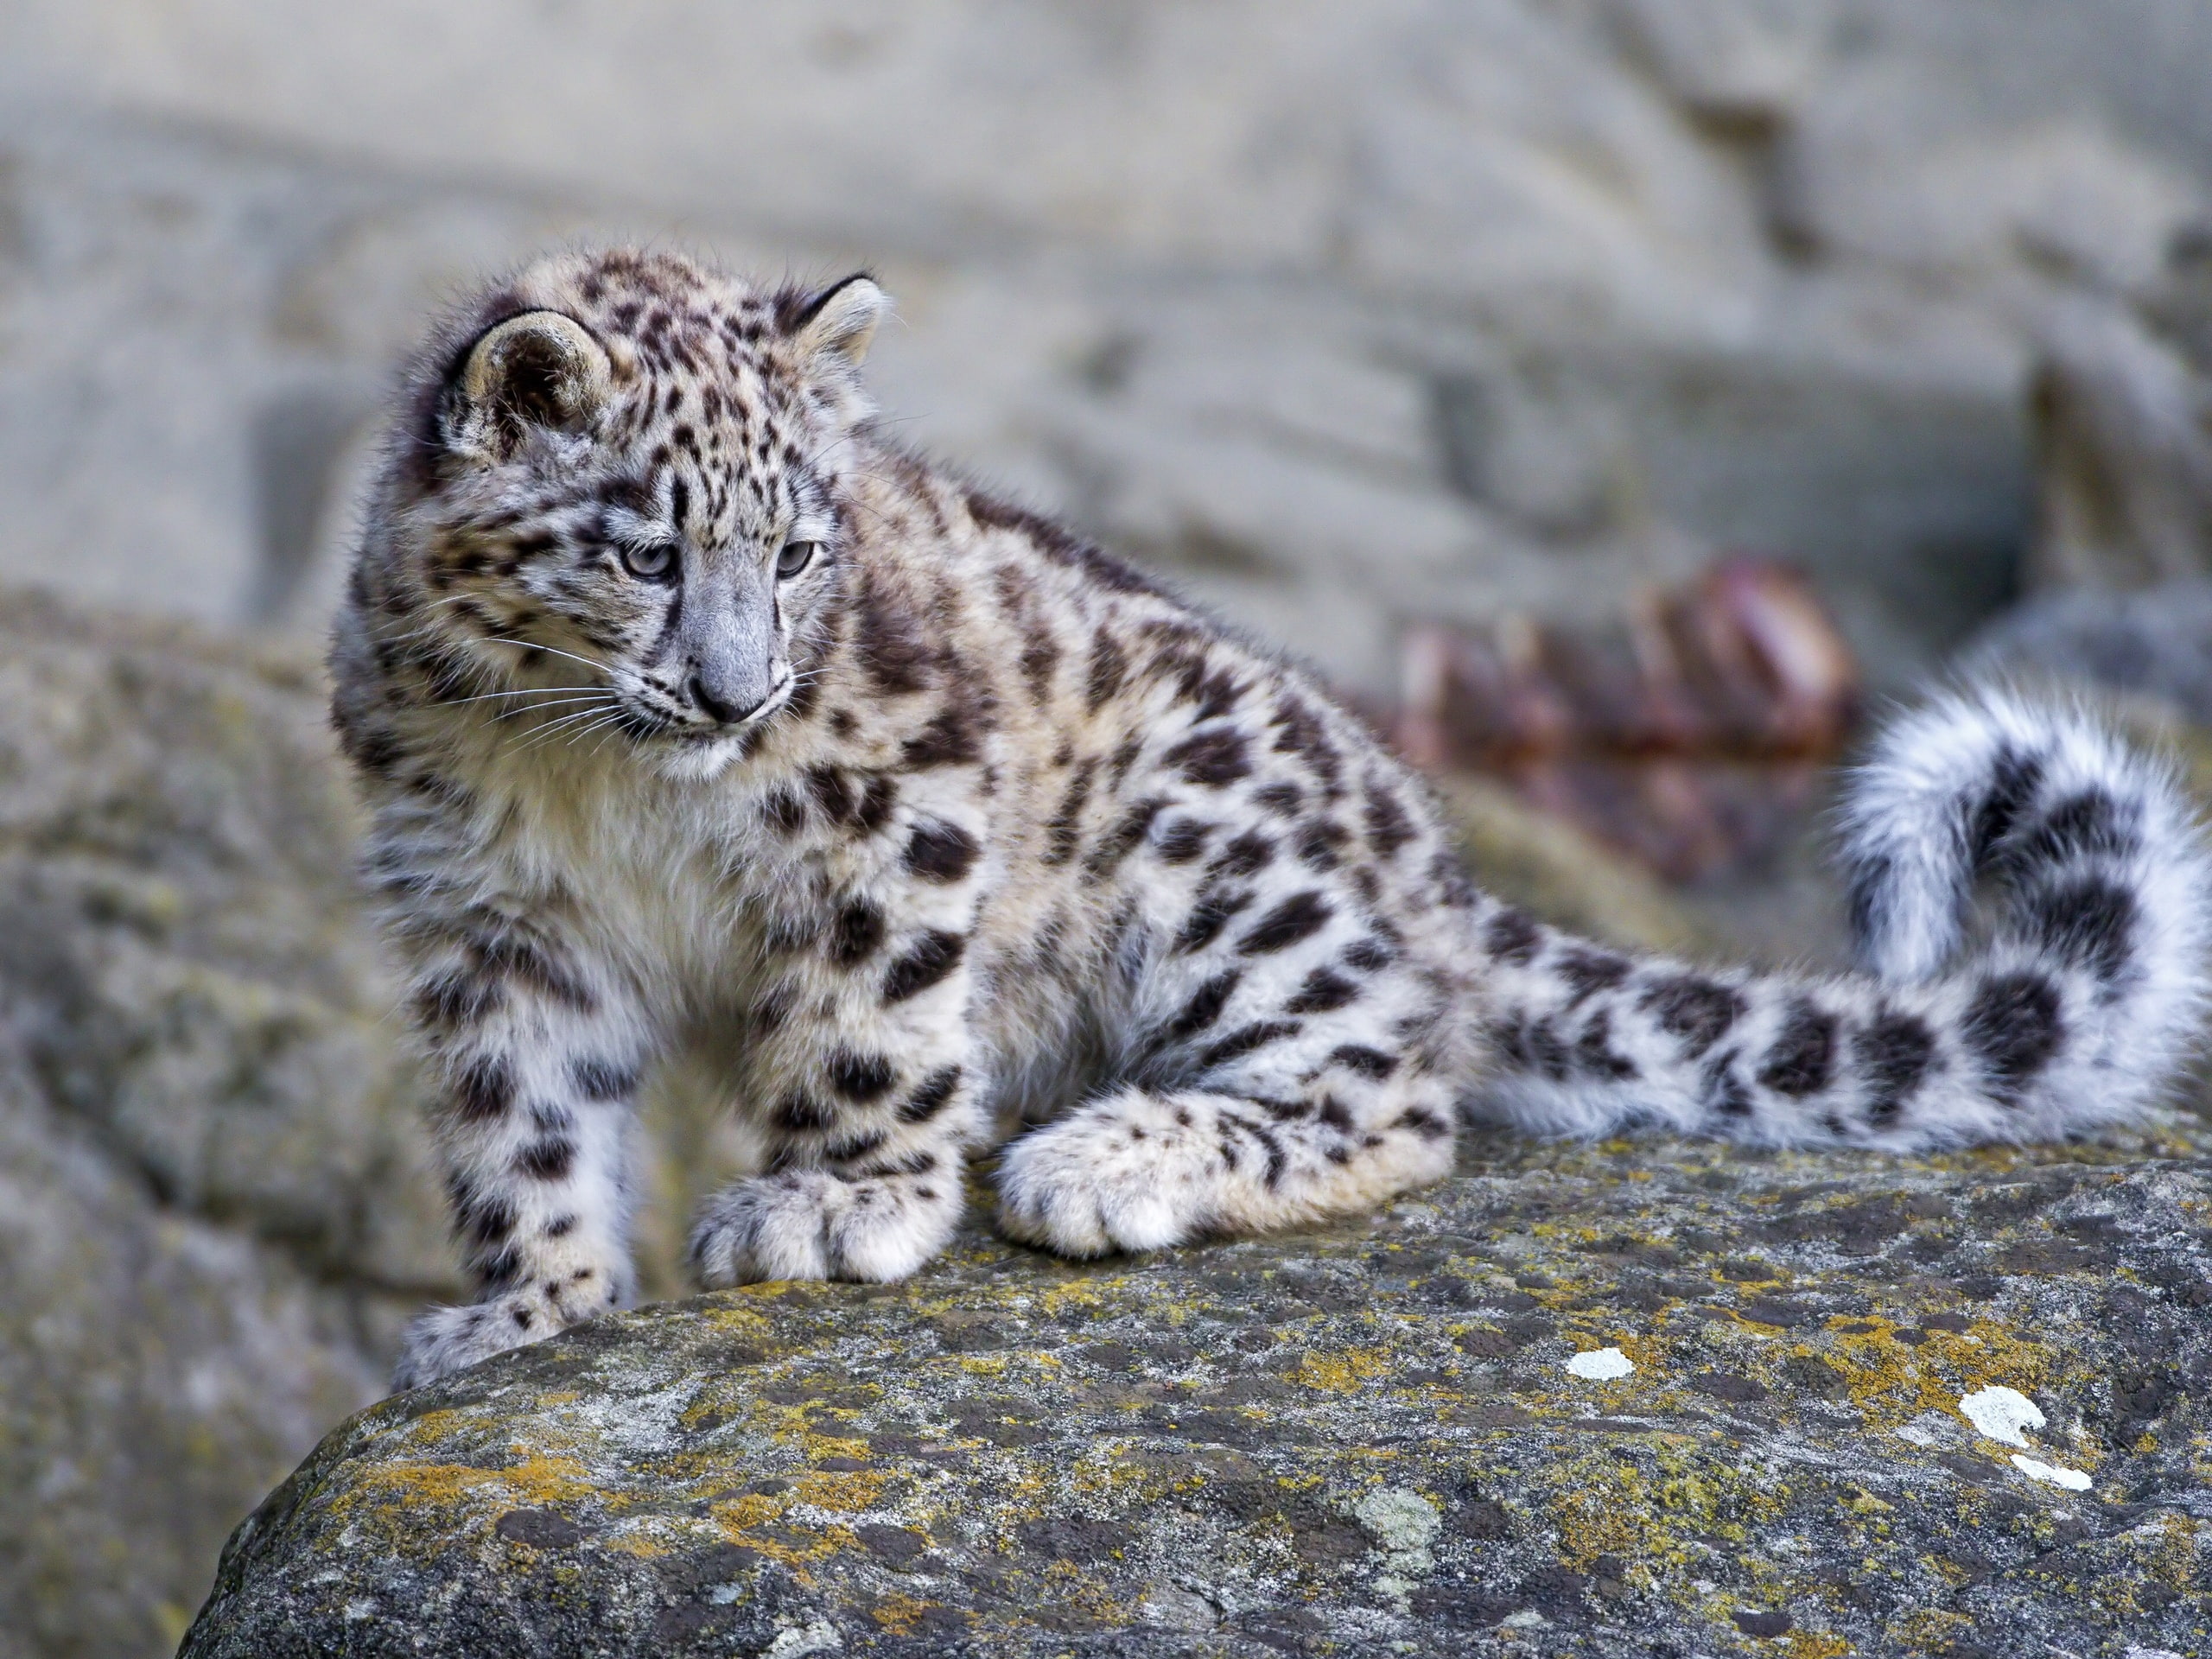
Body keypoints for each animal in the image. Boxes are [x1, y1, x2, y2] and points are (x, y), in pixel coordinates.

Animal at [328, 247, 2212, 1389]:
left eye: (794, 551)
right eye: (648, 552)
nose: (736, 695)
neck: (600, 780)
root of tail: (1432, 868)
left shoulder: (896, 805)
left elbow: (867, 1023)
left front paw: (837, 1202)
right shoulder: (489, 919)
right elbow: (522, 1121)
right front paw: (525, 1309)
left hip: (1212, 858)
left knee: (1391, 1098)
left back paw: (1101, 1160)